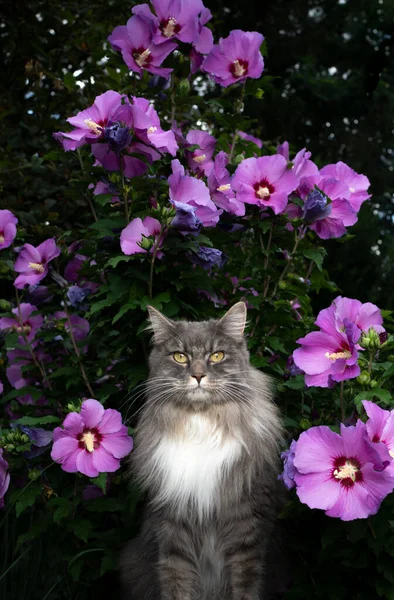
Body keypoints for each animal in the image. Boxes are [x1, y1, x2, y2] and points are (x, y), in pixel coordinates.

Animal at [120, 302, 284, 600]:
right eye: (180, 357)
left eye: (216, 356)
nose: (197, 375)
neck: (202, 423)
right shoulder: (173, 531)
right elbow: (177, 583)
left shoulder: (246, 530)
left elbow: (246, 586)